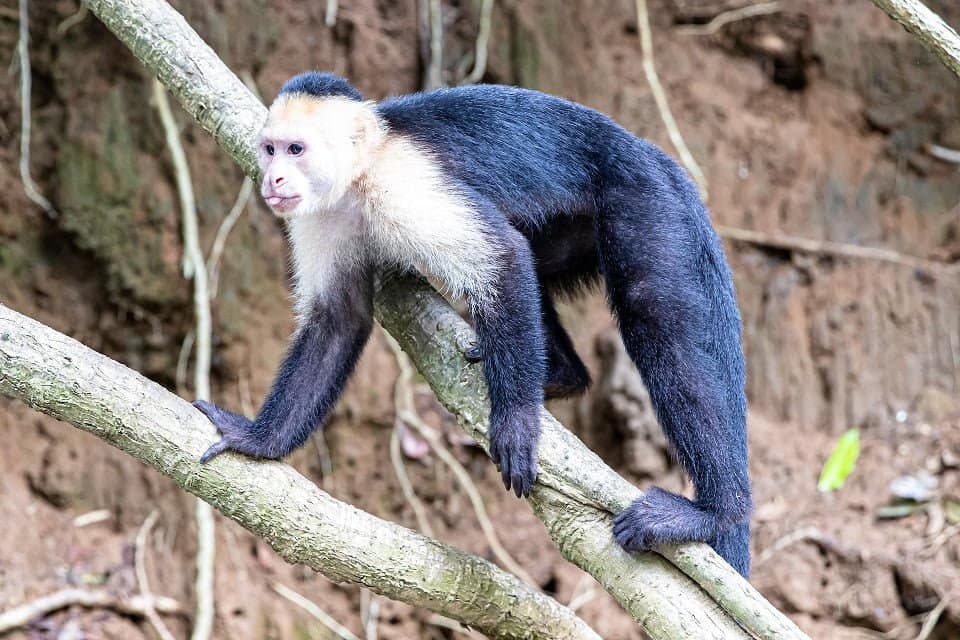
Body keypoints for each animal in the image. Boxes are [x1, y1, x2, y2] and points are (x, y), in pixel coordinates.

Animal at [194, 71, 753, 577]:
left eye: (296, 149)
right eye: (269, 150)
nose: (273, 179)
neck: (361, 176)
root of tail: (647, 151)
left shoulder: (405, 184)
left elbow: (501, 260)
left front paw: (516, 423)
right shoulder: (320, 216)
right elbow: (339, 319)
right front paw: (260, 442)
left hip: (645, 201)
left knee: (654, 314)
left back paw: (715, 512)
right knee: (537, 266)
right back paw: (560, 373)